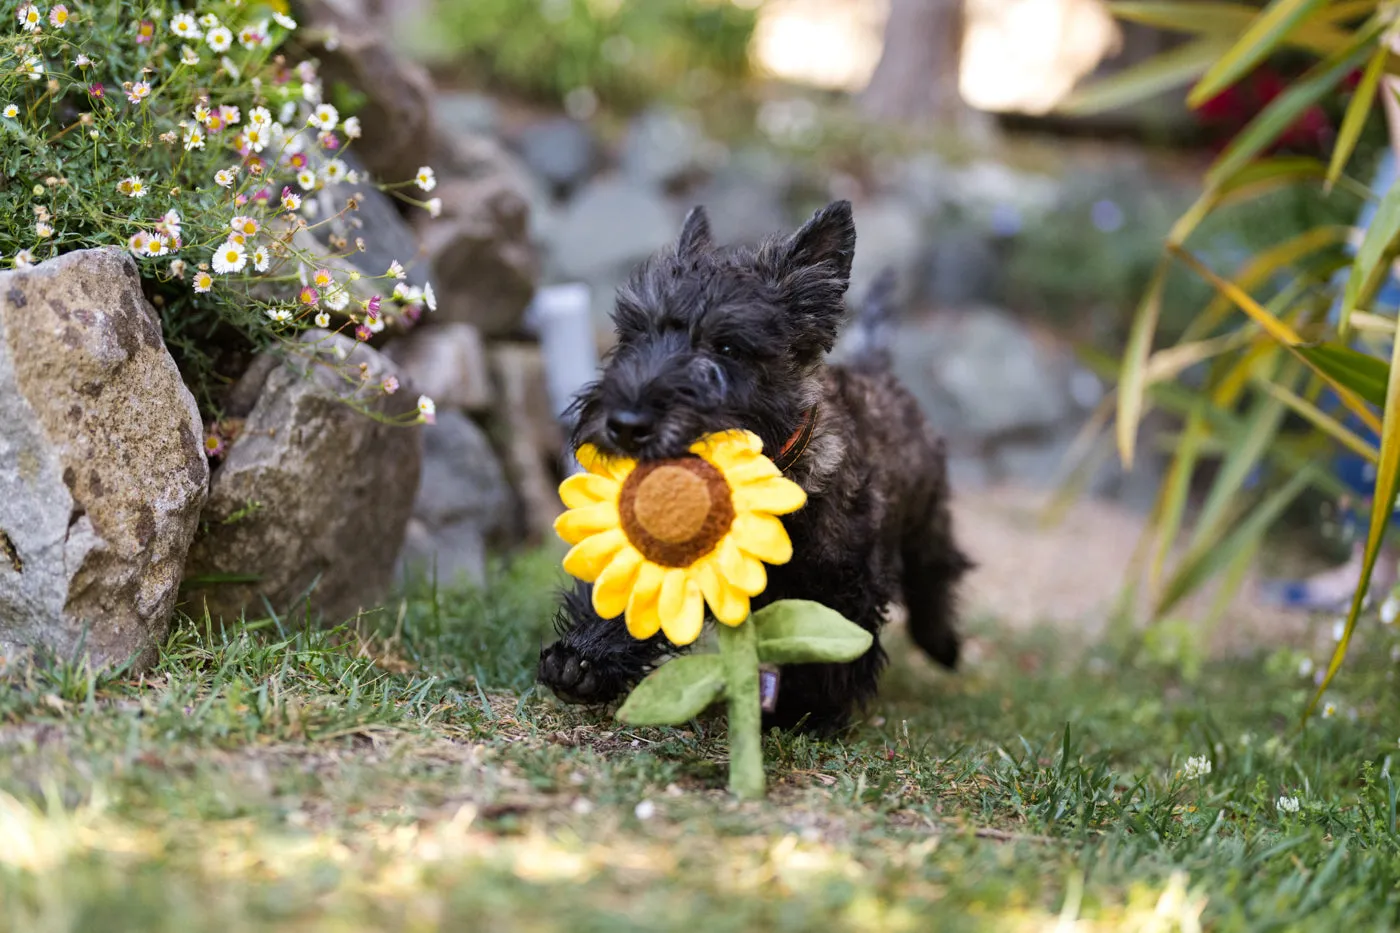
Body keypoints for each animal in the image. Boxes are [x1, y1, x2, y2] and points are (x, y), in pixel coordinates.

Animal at [537, 200, 974, 728]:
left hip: (927, 515)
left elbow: (828, 647)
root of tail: (877, 367)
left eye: (726, 347)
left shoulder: (843, 584)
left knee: (937, 569)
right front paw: (581, 660)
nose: (625, 424)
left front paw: (805, 710)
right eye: (635, 334)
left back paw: (942, 645)